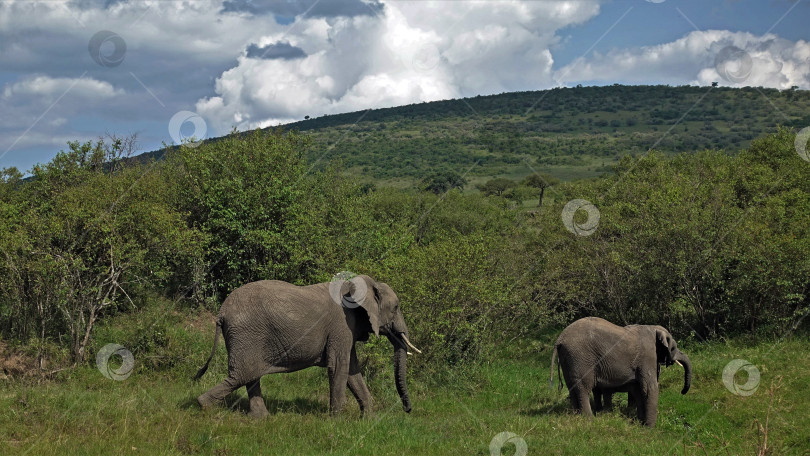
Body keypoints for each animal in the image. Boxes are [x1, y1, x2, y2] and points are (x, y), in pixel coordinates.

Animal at [193, 272, 420, 418]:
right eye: (396, 307)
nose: (408, 410)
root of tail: (221, 312)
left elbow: (353, 371)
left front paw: (368, 419)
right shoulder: (342, 325)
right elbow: (340, 367)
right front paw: (337, 421)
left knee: (250, 374)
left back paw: (260, 418)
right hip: (246, 334)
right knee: (242, 374)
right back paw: (203, 407)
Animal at [548, 318, 692, 428]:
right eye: (673, 348)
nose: (683, 392)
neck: (653, 329)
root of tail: (560, 338)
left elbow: (638, 389)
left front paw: (639, 422)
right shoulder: (648, 356)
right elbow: (649, 388)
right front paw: (649, 429)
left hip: (569, 357)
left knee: (572, 387)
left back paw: (576, 417)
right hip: (580, 358)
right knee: (583, 388)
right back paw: (589, 420)